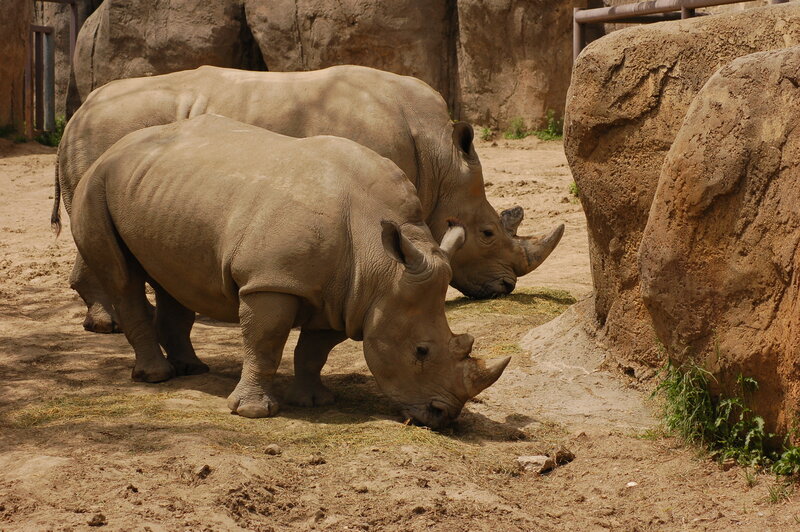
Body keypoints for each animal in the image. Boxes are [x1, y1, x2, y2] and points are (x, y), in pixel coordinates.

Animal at [53, 65, 564, 333]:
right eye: (487, 232)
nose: (506, 287)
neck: (440, 159)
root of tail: (76, 114)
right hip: (110, 133)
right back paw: (110, 324)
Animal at [69, 114, 510, 427]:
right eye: (420, 351)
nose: (444, 415)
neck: (382, 266)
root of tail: (115, 145)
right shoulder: (272, 281)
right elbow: (265, 342)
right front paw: (254, 413)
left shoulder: (350, 297)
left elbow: (315, 350)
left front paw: (314, 401)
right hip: (95, 184)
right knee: (122, 278)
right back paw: (157, 377)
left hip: (162, 192)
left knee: (173, 278)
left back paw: (191, 369)